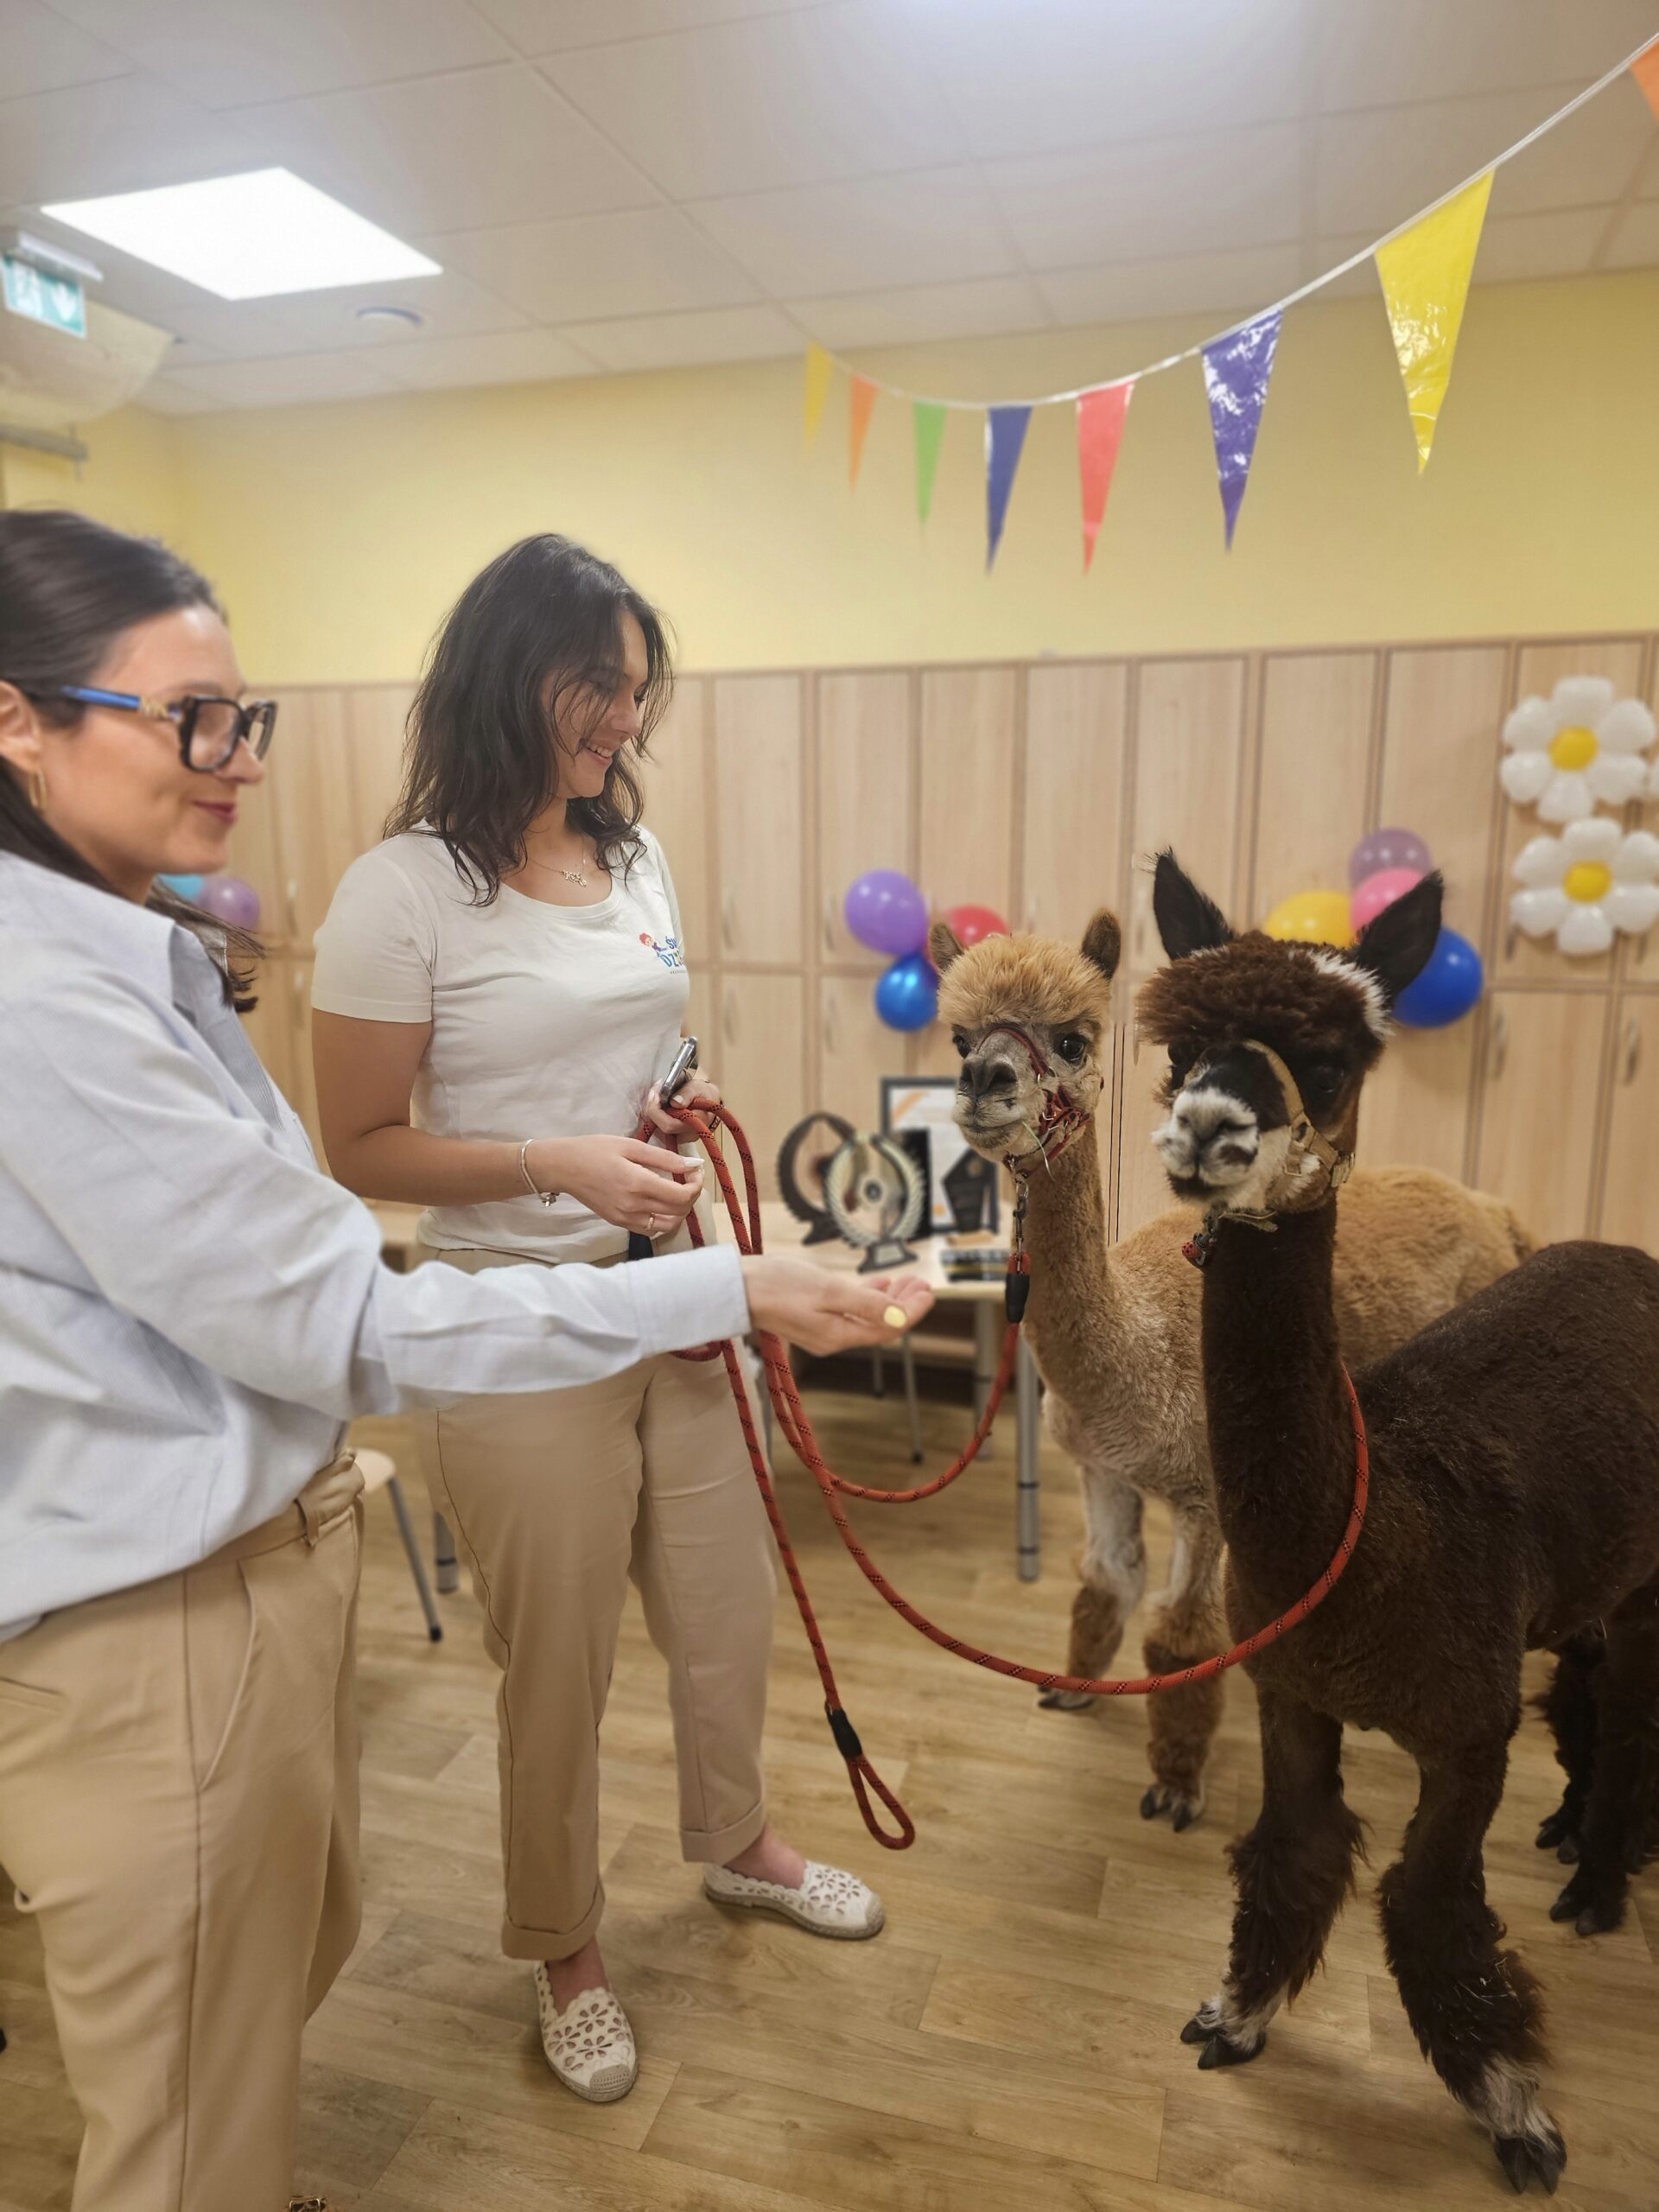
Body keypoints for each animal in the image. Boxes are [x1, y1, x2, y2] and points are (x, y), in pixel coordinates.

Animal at [931, 912, 1529, 1828]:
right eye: (960, 1037)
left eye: (1072, 1040)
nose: (981, 1079)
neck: (1134, 1353)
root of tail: (1492, 1209)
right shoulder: (1103, 1468)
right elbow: (1106, 1580)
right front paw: (1074, 1688)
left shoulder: (1203, 1492)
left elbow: (1181, 1634)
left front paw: (1177, 1783)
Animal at [1139, 853, 1659, 2195]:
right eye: (1183, 1050)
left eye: (1328, 1063)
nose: (1208, 1129)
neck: (1377, 1535)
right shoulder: (1291, 1687)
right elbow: (1295, 1848)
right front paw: (1236, 2014)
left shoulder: (1466, 1733)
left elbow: (1431, 1909)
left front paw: (1514, 2109)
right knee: (1591, 1687)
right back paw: (1576, 1832)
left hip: (1649, 1584)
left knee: (1636, 1714)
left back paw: (1597, 1881)